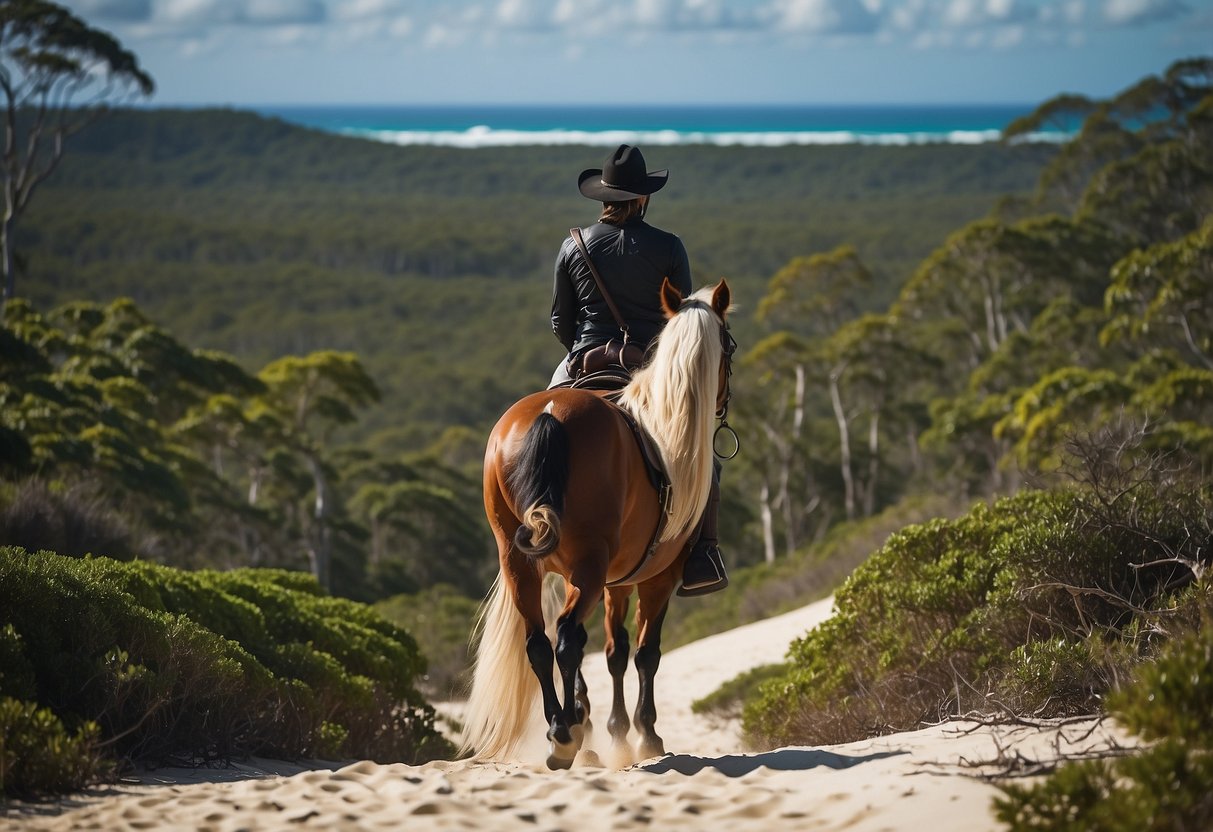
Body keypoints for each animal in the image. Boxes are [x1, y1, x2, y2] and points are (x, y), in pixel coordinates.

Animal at [458, 276, 732, 771]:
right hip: (589, 563)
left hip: (522, 562)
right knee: (568, 636)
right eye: (731, 346)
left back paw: (562, 727)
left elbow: (612, 652)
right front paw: (644, 735)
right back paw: (566, 737)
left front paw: (605, 727)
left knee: (540, 642)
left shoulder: (608, 580)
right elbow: (644, 653)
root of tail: (549, 413)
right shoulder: (656, 578)